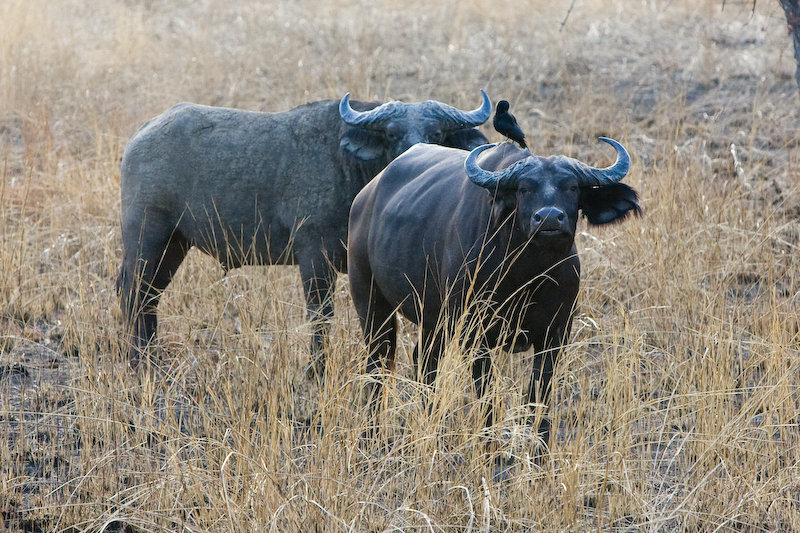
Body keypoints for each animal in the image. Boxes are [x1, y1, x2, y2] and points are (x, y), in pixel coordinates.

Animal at [117, 91, 494, 368]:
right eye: (391, 133)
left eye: (436, 133)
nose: (418, 151)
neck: (351, 170)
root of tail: (143, 133)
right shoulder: (315, 254)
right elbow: (320, 315)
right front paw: (316, 368)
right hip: (148, 234)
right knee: (133, 291)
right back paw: (139, 359)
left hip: (175, 244)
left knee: (147, 294)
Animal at [346, 137, 640, 444]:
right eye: (524, 188)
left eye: (572, 187)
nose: (549, 218)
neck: (528, 275)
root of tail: (364, 198)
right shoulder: (476, 334)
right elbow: (486, 391)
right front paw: (489, 442)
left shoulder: (556, 332)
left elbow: (539, 391)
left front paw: (540, 443)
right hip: (370, 300)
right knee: (378, 361)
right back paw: (372, 433)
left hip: (433, 320)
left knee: (425, 360)